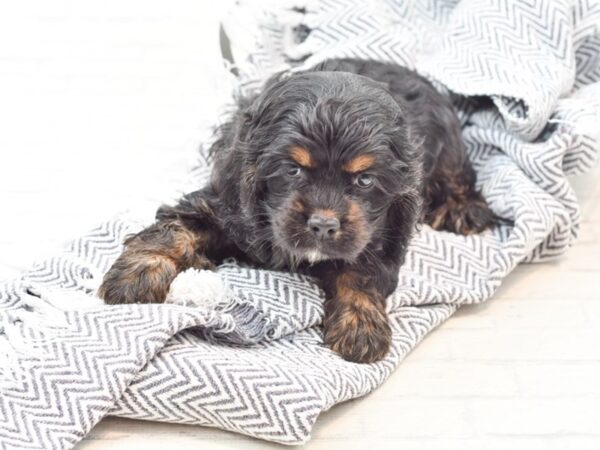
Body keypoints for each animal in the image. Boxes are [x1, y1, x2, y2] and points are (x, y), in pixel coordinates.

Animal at [98, 58, 494, 364]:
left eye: (365, 180)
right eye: (293, 170)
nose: (323, 225)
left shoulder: (379, 232)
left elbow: (361, 272)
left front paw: (361, 326)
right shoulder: (226, 207)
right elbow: (175, 229)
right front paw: (135, 274)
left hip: (447, 145)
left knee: (457, 172)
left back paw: (462, 209)